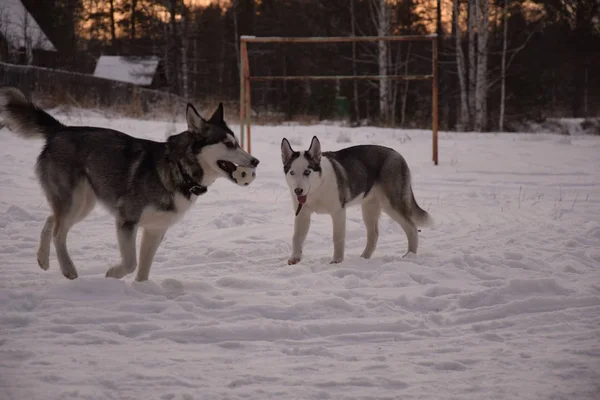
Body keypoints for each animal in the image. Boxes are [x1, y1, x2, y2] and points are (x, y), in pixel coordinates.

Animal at [0, 87, 258, 282]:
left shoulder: (156, 229)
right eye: (228, 144)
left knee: (50, 221)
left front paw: (142, 291)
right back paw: (68, 269)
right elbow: (131, 263)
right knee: (58, 232)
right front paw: (112, 274)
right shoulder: (127, 221)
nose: (255, 160)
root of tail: (61, 130)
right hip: (74, 200)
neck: (178, 169)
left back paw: (43, 260)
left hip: (83, 204)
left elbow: (143, 268)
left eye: (237, 142)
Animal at [282, 136, 432, 264]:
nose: (298, 191)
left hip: (392, 204)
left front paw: (337, 261)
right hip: (369, 208)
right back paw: (364, 257)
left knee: (412, 228)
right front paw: (295, 257)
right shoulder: (302, 214)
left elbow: (337, 237)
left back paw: (410, 256)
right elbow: (296, 237)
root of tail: (397, 154)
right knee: (374, 234)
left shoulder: (338, 212)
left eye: (307, 172)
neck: (317, 188)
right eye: (292, 173)